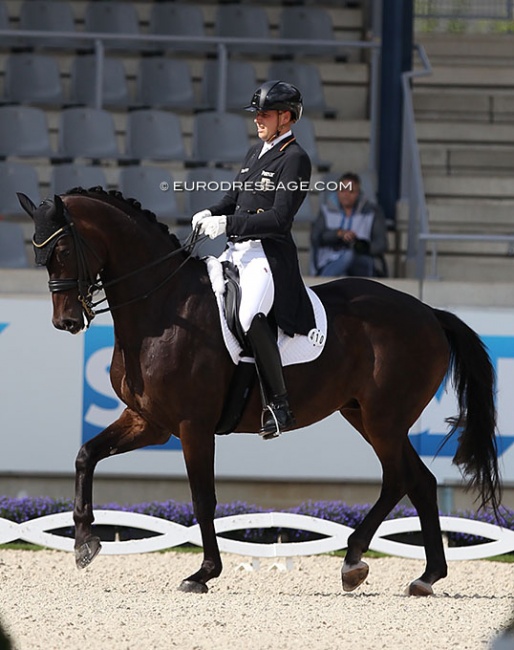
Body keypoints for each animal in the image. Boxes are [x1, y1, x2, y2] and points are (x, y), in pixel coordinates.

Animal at [17, 188, 501, 597]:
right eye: (39, 254)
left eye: (62, 250)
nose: (66, 321)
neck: (164, 308)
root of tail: (428, 312)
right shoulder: (148, 421)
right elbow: (86, 455)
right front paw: (84, 542)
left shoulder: (192, 426)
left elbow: (203, 497)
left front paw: (203, 573)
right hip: (364, 414)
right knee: (419, 481)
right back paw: (424, 576)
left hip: (384, 419)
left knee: (399, 478)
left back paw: (355, 562)